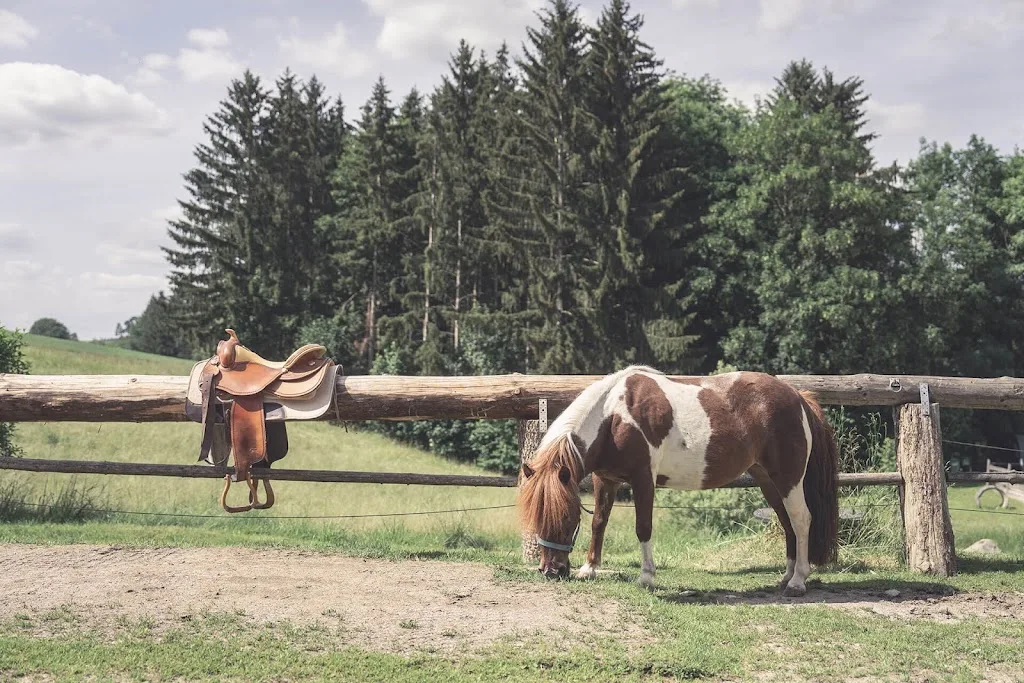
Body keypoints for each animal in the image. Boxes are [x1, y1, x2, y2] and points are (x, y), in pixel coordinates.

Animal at [516, 365, 839, 596]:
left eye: (566, 517)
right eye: (537, 516)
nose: (552, 571)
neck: (614, 417)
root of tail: (799, 398)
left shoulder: (643, 479)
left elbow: (643, 527)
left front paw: (646, 577)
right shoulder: (604, 479)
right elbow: (599, 522)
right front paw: (589, 569)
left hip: (789, 478)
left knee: (801, 519)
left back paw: (797, 582)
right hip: (767, 479)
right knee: (786, 521)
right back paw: (786, 576)